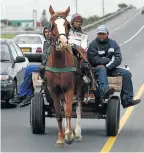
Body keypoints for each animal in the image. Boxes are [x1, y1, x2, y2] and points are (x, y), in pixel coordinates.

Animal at [45, 5, 85, 147]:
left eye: (67, 24)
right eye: (52, 24)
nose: (62, 42)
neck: (59, 64)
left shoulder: (70, 88)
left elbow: (68, 112)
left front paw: (68, 135)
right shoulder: (54, 90)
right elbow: (59, 114)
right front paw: (60, 138)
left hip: (80, 88)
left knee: (77, 108)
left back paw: (76, 133)